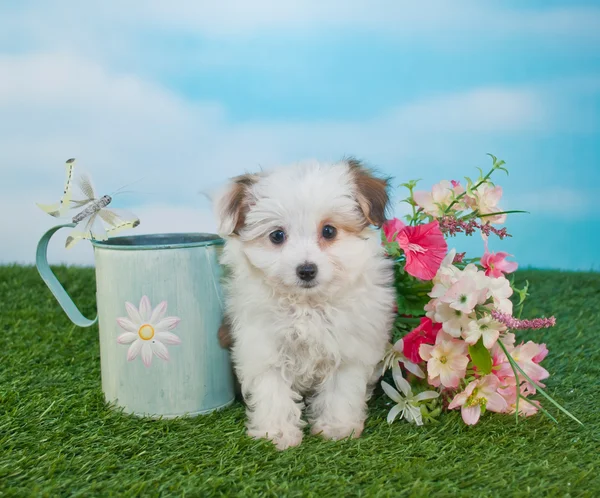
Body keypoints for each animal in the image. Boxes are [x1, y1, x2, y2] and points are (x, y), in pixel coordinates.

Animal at [213, 160, 396, 452]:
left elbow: (341, 388)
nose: (307, 270)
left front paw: (337, 428)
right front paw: (276, 432)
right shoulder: (264, 345)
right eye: (277, 236)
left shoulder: (350, 346)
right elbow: (272, 388)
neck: (307, 305)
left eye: (329, 231)